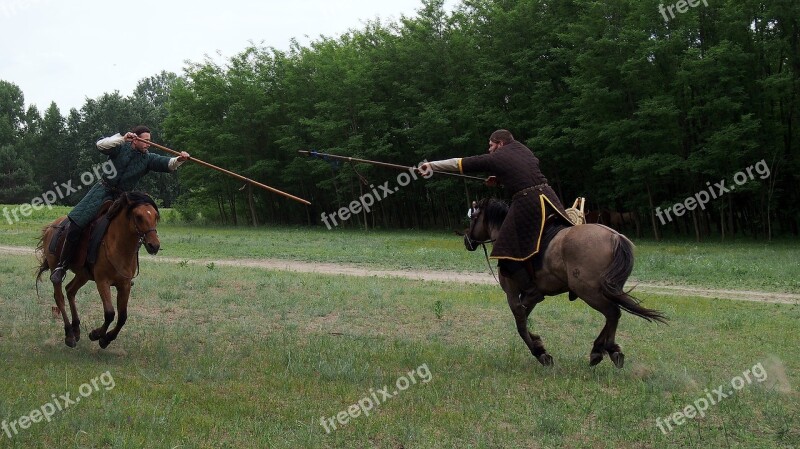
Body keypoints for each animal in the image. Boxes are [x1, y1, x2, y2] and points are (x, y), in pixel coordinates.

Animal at [36, 191, 162, 348]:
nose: (154, 245)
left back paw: (76, 328)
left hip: (83, 275)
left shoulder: (125, 285)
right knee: (59, 298)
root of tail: (50, 228)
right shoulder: (103, 282)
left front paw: (106, 338)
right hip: (56, 269)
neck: (117, 245)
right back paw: (69, 334)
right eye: (138, 216)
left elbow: (122, 317)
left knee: (70, 290)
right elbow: (109, 313)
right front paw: (96, 334)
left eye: (155, 216)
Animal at [462, 199, 664, 368]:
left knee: (613, 312)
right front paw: (538, 345)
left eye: (473, 218)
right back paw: (600, 349)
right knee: (612, 314)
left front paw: (541, 354)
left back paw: (608, 350)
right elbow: (524, 320)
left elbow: (520, 324)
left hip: (587, 291)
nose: (467, 240)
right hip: (606, 289)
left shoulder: (512, 294)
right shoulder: (532, 296)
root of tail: (615, 236)